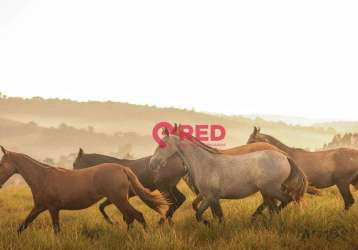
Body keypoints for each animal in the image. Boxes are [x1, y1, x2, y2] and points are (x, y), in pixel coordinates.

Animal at [0, 146, 168, 234]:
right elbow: (22, 226)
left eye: (1, 163)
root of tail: (123, 169)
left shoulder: (52, 208)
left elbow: (56, 230)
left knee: (136, 215)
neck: (43, 177)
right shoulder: (39, 207)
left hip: (118, 199)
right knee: (130, 217)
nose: (0, 183)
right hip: (119, 200)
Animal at [148, 135, 308, 225]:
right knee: (275, 206)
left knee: (286, 201)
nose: (152, 163)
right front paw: (208, 224)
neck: (204, 162)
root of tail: (285, 156)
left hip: (271, 189)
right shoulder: (208, 197)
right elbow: (200, 214)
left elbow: (217, 216)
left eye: (161, 145)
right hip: (267, 191)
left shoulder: (212, 197)